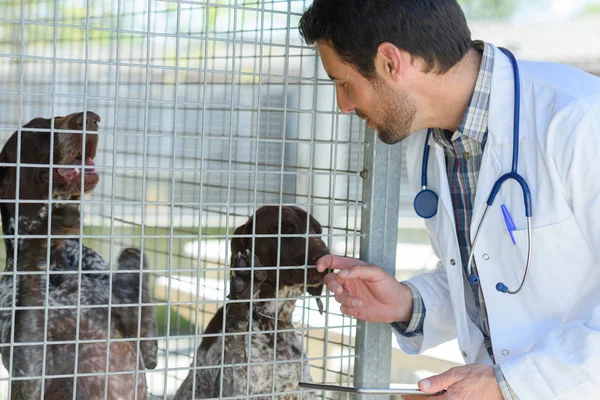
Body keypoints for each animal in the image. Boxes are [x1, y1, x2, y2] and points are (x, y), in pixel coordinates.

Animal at [0, 111, 159, 398]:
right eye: (36, 128)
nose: (91, 118)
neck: (61, 263)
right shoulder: (29, 377)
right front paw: (44, 232)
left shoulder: (148, 351)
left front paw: (131, 265)